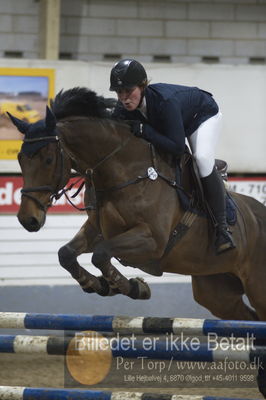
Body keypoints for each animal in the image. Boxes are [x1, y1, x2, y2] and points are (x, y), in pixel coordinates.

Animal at [8, 88, 266, 322]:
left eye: (48, 159)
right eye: (20, 159)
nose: (27, 219)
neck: (124, 171)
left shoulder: (152, 240)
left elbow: (101, 255)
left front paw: (133, 287)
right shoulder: (98, 230)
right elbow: (66, 254)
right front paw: (97, 284)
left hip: (256, 287)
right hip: (216, 290)